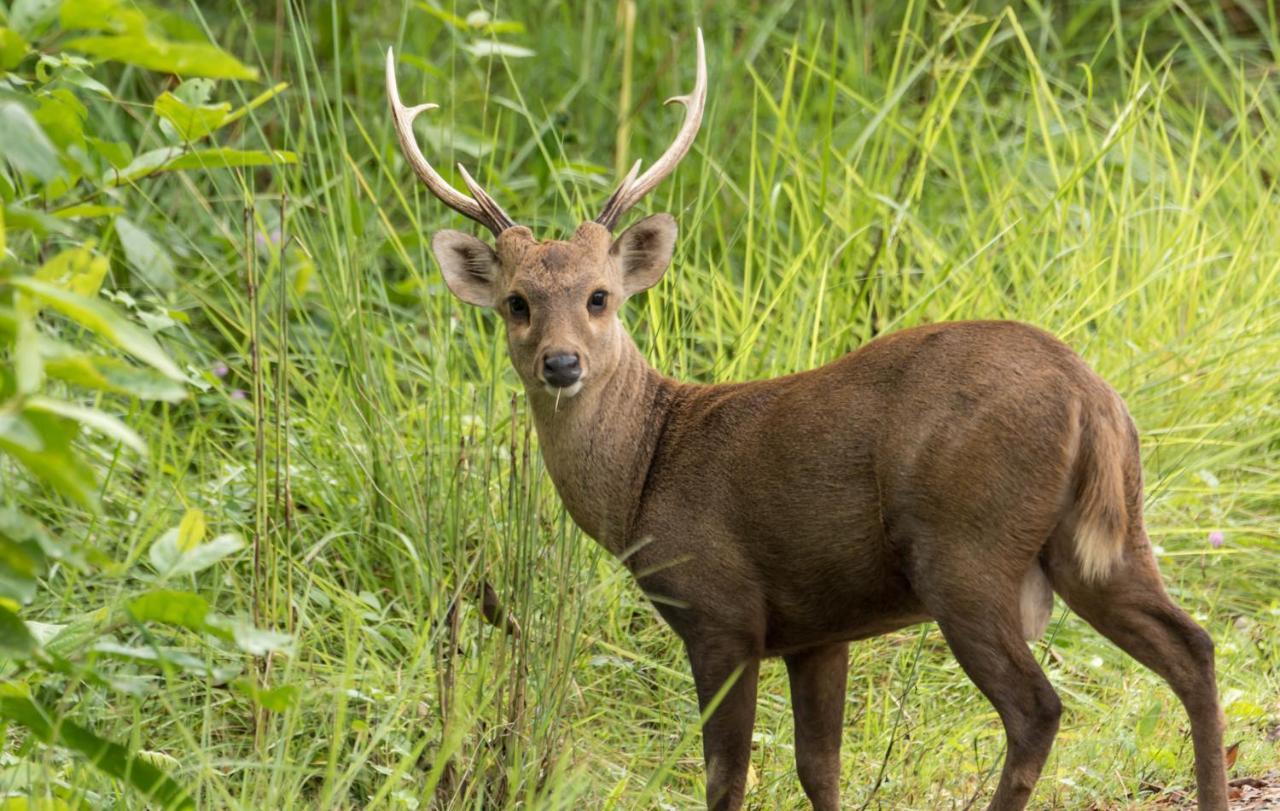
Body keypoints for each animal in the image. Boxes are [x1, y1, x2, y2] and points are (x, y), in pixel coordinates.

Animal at [381, 31, 1228, 808]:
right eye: (517, 302)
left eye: (600, 296)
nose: (562, 363)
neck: (647, 468)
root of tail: (1092, 393)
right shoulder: (819, 629)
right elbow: (820, 769)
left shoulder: (722, 611)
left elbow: (726, 778)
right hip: (1107, 533)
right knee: (1193, 645)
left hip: (967, 545)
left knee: (1037, 707)